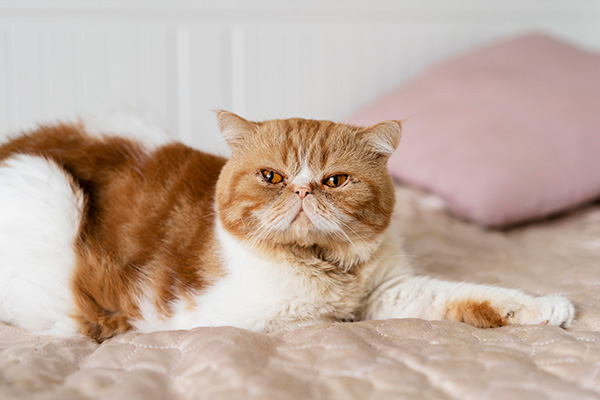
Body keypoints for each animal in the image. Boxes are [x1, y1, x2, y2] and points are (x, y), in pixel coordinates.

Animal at [0, 111, 576, 340]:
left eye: (335, 180)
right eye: (272, 177)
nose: (302, 190)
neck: (327, 268)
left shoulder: (391, 291)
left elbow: (469, 296)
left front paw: (545, 306)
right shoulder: (249, 320)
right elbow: (325, 323)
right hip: (48, 188)